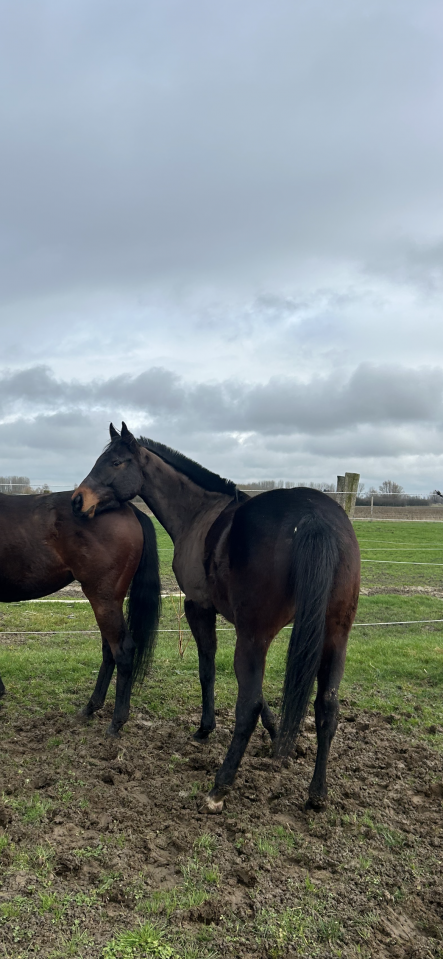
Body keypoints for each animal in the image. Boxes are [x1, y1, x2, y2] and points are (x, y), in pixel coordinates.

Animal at [0, 490, 160, 736]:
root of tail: (129, 509)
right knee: (109, 651)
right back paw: (90, 708)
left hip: (103, 599)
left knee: (122, 651)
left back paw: (116, 722)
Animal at [73, 423, 360, 811]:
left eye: (116, 462)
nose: (78, 500)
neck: (199, 513)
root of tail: (314, 518)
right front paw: (276, 736)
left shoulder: (199, 608)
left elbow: (207, 668)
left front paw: (205, 728)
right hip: (334, 635)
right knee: (327, 707)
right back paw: (316, 793)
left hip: (255, 638)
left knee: (247, 707)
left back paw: (220, 786)